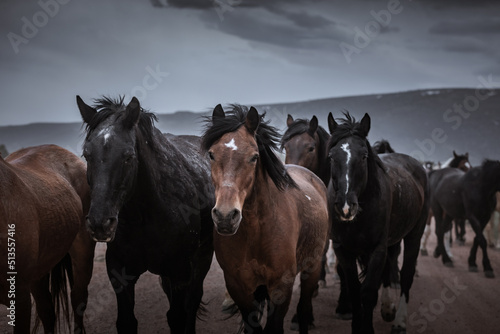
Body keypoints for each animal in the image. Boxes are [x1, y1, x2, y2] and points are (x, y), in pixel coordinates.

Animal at [77, 95, 214, 332]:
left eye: (128, 156)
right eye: (87, 155)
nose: (99, 223)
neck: (145, 216)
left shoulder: (180, 272)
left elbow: (179, 316)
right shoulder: (120, 273)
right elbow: (126, 321)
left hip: (202, 258)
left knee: (193, 302)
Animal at [201, 105, 330, 334]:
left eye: (254, 157)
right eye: (212, 154)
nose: (225, 216)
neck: (255, 232)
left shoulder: (281, 286)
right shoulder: (238, 286)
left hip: (312, 268)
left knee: (304, 306)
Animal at [326, 113, 428, 334]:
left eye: (364, 156)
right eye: (331, 156)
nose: (345, 206)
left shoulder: (377, 249)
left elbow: (368, 292)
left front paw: (368, 328)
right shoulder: (342, 250)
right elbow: (355, 290)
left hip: (414, 234)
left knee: (405, 276)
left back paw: (399, 321)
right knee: (389, 269)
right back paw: (388, 309)